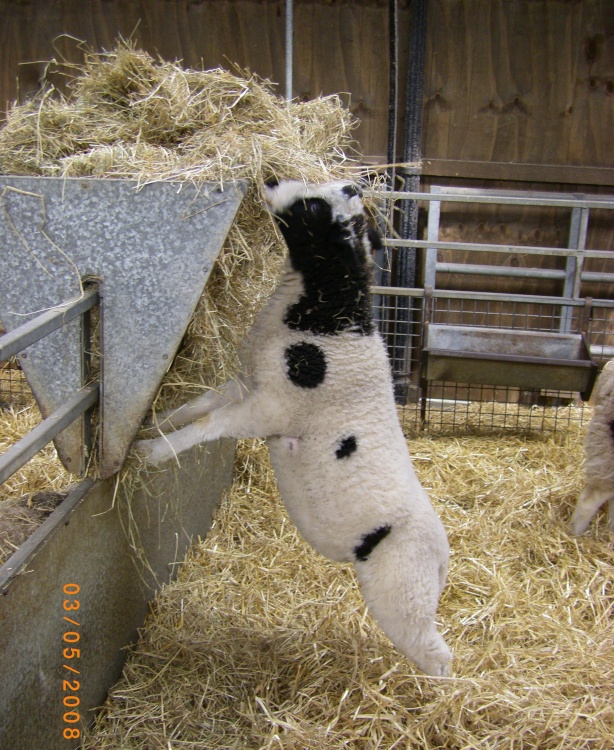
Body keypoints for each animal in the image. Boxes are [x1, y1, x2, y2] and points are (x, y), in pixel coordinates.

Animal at [136, 180, 452, 676]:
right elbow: (199, 404)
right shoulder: (249, 382)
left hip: (402, 593)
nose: (267, 182)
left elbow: (211, 424)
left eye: (316, 206)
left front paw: (151, 453)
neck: (330, 314)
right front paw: (153, 425)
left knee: (439, 656)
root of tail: (442, 561)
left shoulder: (274, 407)